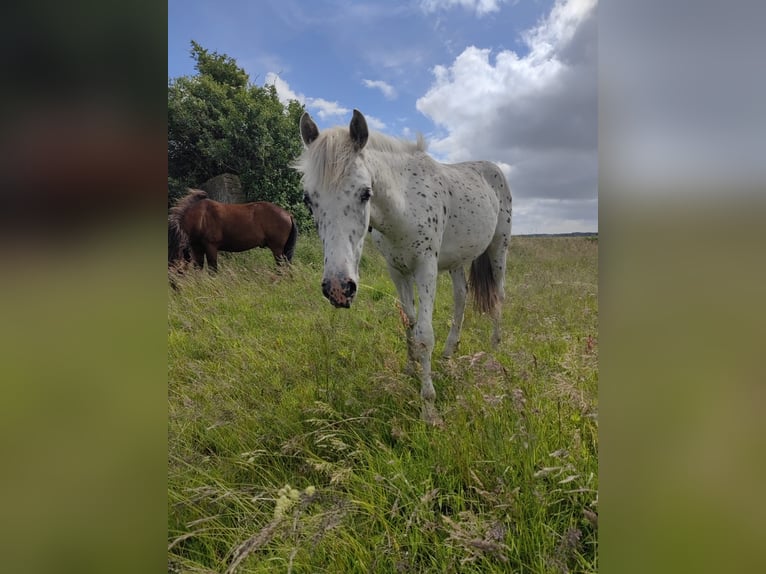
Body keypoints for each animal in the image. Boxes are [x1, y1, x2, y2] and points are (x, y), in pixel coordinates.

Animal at [170, 188, 298, 272]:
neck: (200, 217)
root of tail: (288, 215)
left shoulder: (211, 247)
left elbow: (212, 270)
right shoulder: (197, 249)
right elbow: (198, 269)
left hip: (277, 249)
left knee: (281, 268)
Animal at [296, 110, 512, 426]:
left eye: (365, 193)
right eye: (308, 198)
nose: (338, 288)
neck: (404, 205)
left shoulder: (426, 268)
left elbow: (423, 335)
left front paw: (429, 408)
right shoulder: (397, 271)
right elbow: (408, 324)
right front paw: (410, 371)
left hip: (498, 249)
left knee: (498, 295)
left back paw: (496, 349)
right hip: (457, 261)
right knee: (461, 297)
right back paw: (449, 353)